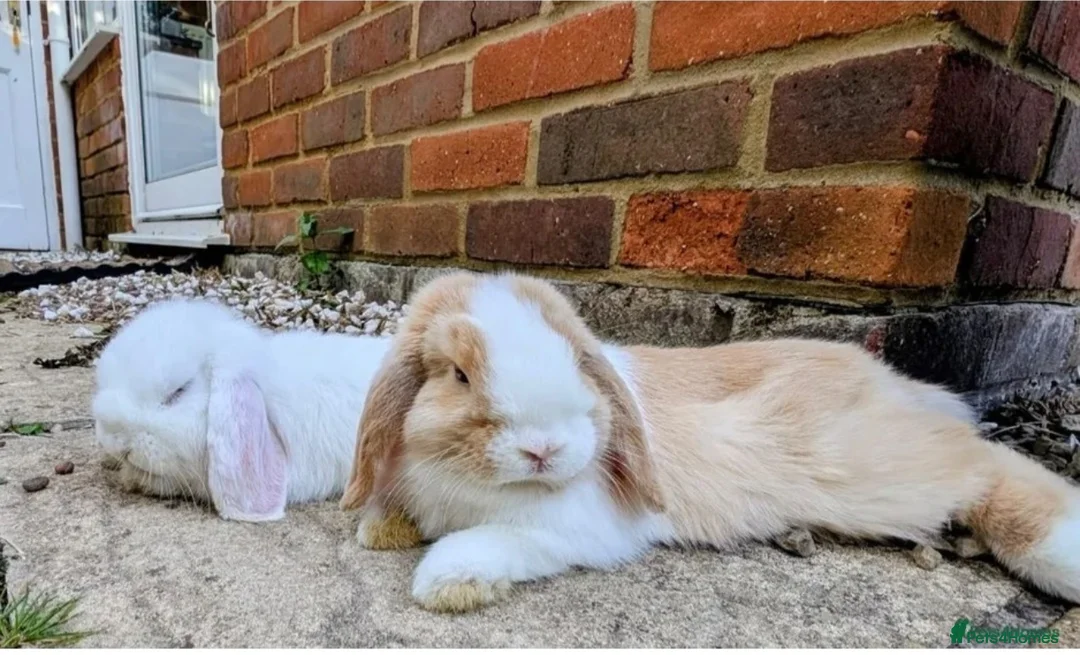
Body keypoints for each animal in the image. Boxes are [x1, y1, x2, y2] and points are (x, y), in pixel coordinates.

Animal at [339, 271, 1080, 613]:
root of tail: (886, 379)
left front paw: (445, 582)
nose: (544, 449)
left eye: (575, 359)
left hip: (878, 470)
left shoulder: (577, 527)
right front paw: (381, 530)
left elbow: (494, 542)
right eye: (459, 374)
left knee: (988, 462)